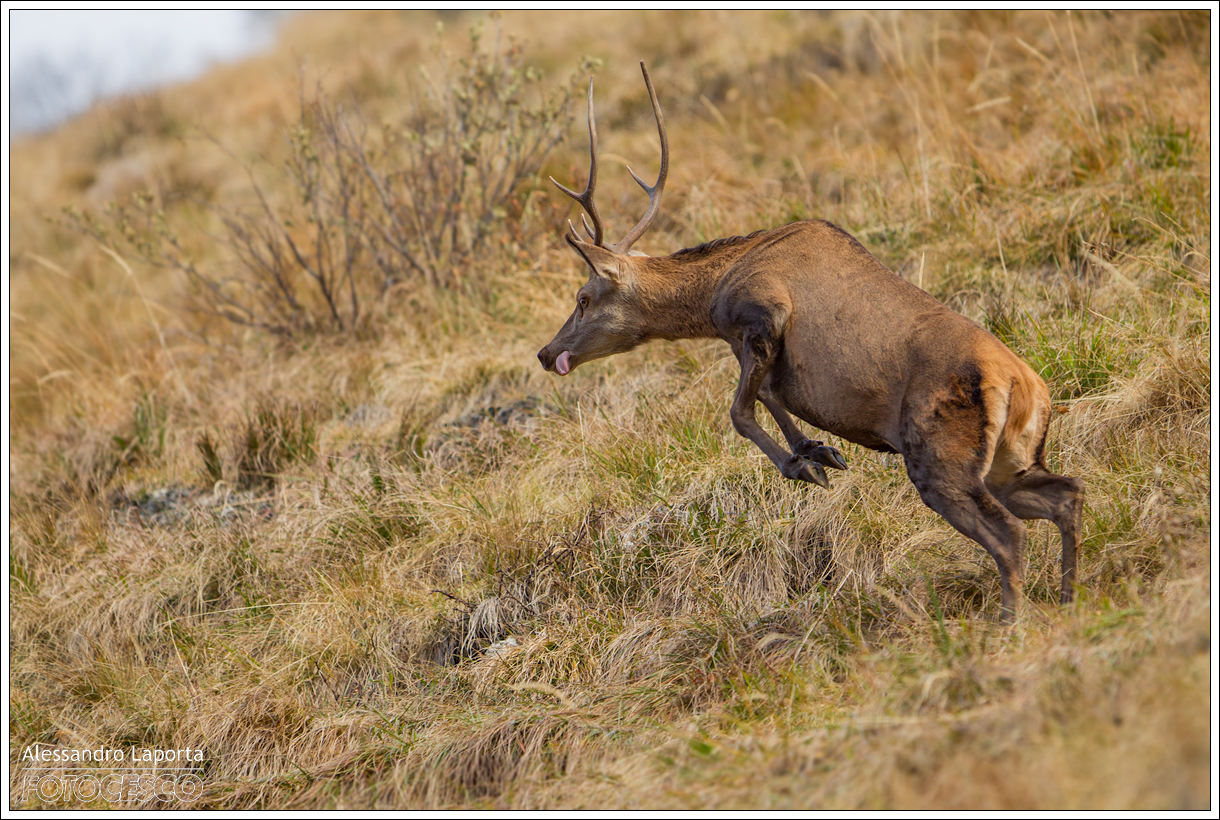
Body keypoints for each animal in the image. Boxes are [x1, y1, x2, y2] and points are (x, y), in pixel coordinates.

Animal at [537, 62, 1084, 622]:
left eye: (583, 298)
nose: (545, 353)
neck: (715, 293)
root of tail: (1023, 386)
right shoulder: (763, 349)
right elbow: (770, 394)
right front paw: (819, 451)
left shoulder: (763, 312)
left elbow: (740, 409)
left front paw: (802, 466)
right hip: (1011, 459)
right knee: (1068, 495)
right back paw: (1069, 601)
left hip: (939, 457)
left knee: (1010, 535)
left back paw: (1008, 623)